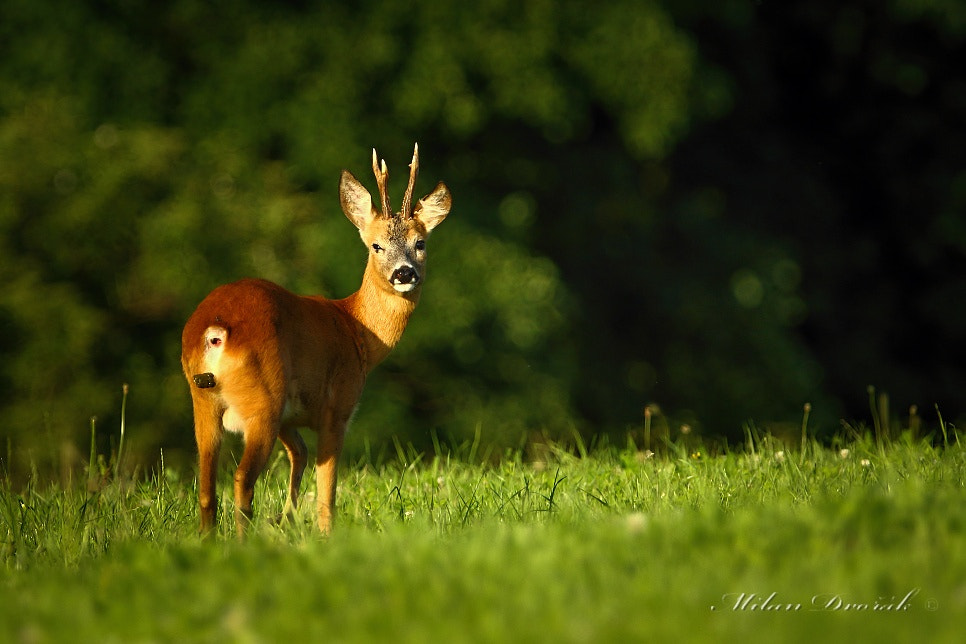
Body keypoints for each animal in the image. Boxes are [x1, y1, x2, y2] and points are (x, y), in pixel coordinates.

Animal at [182, 145, 454, 532]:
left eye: (420, 243)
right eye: (376, 246)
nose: (404, 273)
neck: (357, 328)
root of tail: (214, 332)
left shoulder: (291, 415)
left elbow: (300, 454)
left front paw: (287, 517)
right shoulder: (337, 406)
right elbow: (328, 489)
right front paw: (324, 533)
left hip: (204, 402)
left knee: (206, 488)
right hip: (261, 400)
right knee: (242, 479)